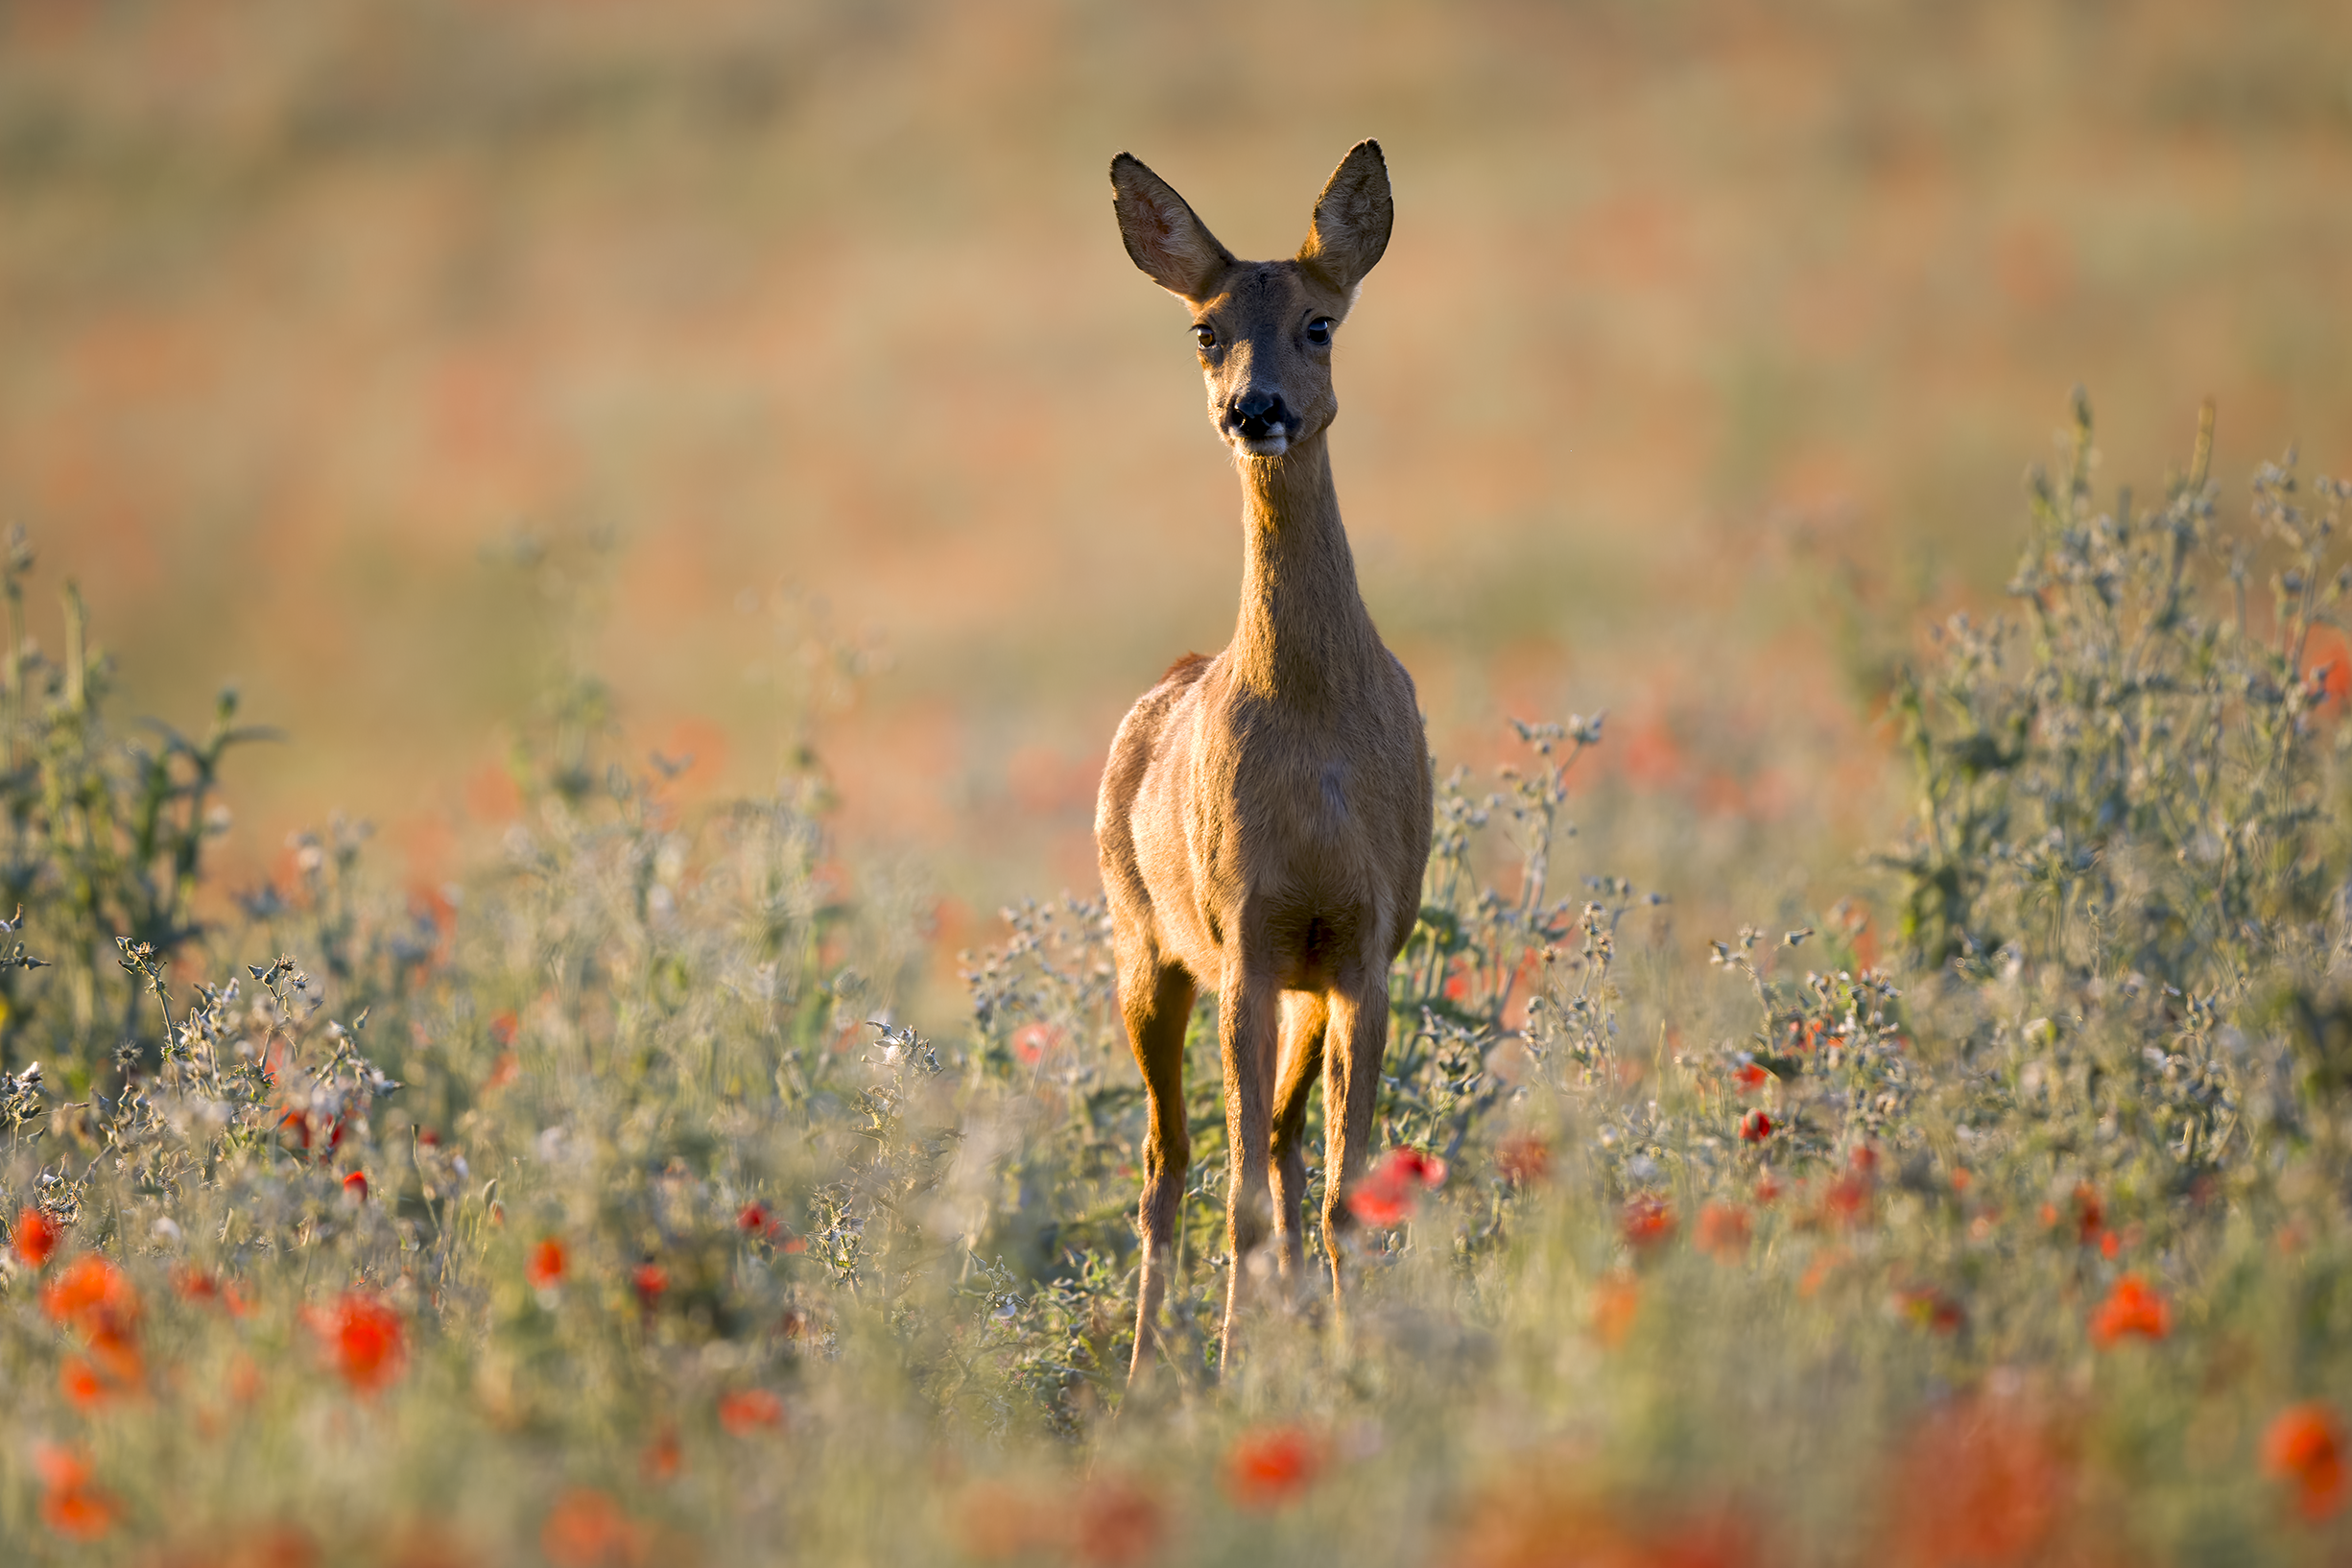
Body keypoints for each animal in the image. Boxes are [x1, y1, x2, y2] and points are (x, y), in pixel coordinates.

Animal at [1097, 140, 1435, 1384]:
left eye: (1319, 322)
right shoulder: (1243, 930)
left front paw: (1350, 1356)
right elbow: (1238, 1191)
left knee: (1282, 1149)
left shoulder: (1364, 942)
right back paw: (1149, 1368)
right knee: (1167, 1162)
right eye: (1206, 331)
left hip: (1297, 983)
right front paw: (1239, 1368)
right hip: (1143, 945)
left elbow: (1340, 1187)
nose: (1257, 408)